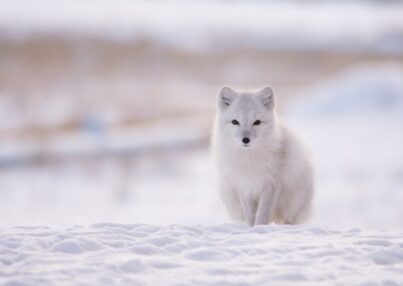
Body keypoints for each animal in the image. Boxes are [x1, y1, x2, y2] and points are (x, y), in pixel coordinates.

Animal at [213, 86, 314, 226]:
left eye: (257, 122)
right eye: (235, 122)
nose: (246, 140)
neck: (249, 158)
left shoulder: (271, 185)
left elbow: (262, 214)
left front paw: (259, 228)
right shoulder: (243, 185)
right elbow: (249, 214)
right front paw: (251, 228)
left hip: (294, 203)